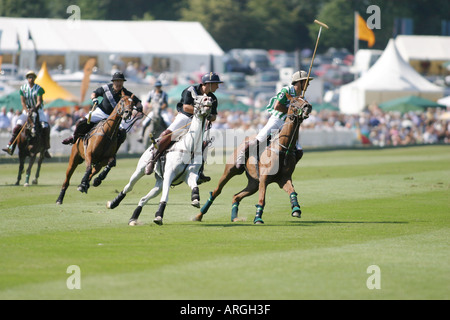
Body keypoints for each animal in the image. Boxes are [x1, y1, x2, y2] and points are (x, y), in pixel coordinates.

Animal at [106, 94, 213, 225]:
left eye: (209, 97)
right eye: (197, 98)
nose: (208, 100)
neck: (189, 147)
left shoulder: (190, 175)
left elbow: (194, 186)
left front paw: (195, 199)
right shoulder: (169, 174)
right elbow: (165, 196)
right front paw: (158, 216)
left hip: (159, 183)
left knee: (143, 199)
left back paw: (133, 218)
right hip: (140, 170)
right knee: (129, 187)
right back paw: (112, 203)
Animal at [195, 95, 312, 224]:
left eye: (305, 100)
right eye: (294, 101)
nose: (308, 106)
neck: (283, 148)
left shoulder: (284, 178)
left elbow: (292, 191)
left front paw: (296, 209)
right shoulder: (264, 178)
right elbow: (262, 199)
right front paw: (258, 218)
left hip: (254, 182)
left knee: (236, 196)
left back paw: (234, 217)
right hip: (230, 171)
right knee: (217, 191)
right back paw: (199, 215)